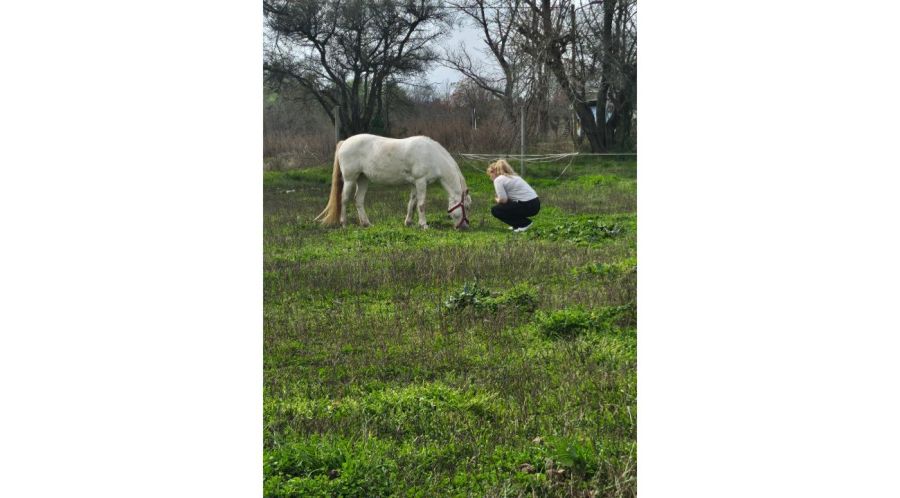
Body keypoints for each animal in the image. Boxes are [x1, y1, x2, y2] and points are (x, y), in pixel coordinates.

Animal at [315, 134, 472, 230]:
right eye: (467, 207)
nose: (464, 227)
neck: (432, 155)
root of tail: (344, 142)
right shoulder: (421, 181)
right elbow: (421, 204)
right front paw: (424, 225)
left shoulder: (414, 184)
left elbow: (412, 203)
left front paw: (408, 222)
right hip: (350, 179)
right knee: (344, 199)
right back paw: (344, 224)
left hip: (363, 179)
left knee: (358, 200)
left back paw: (366, 223)